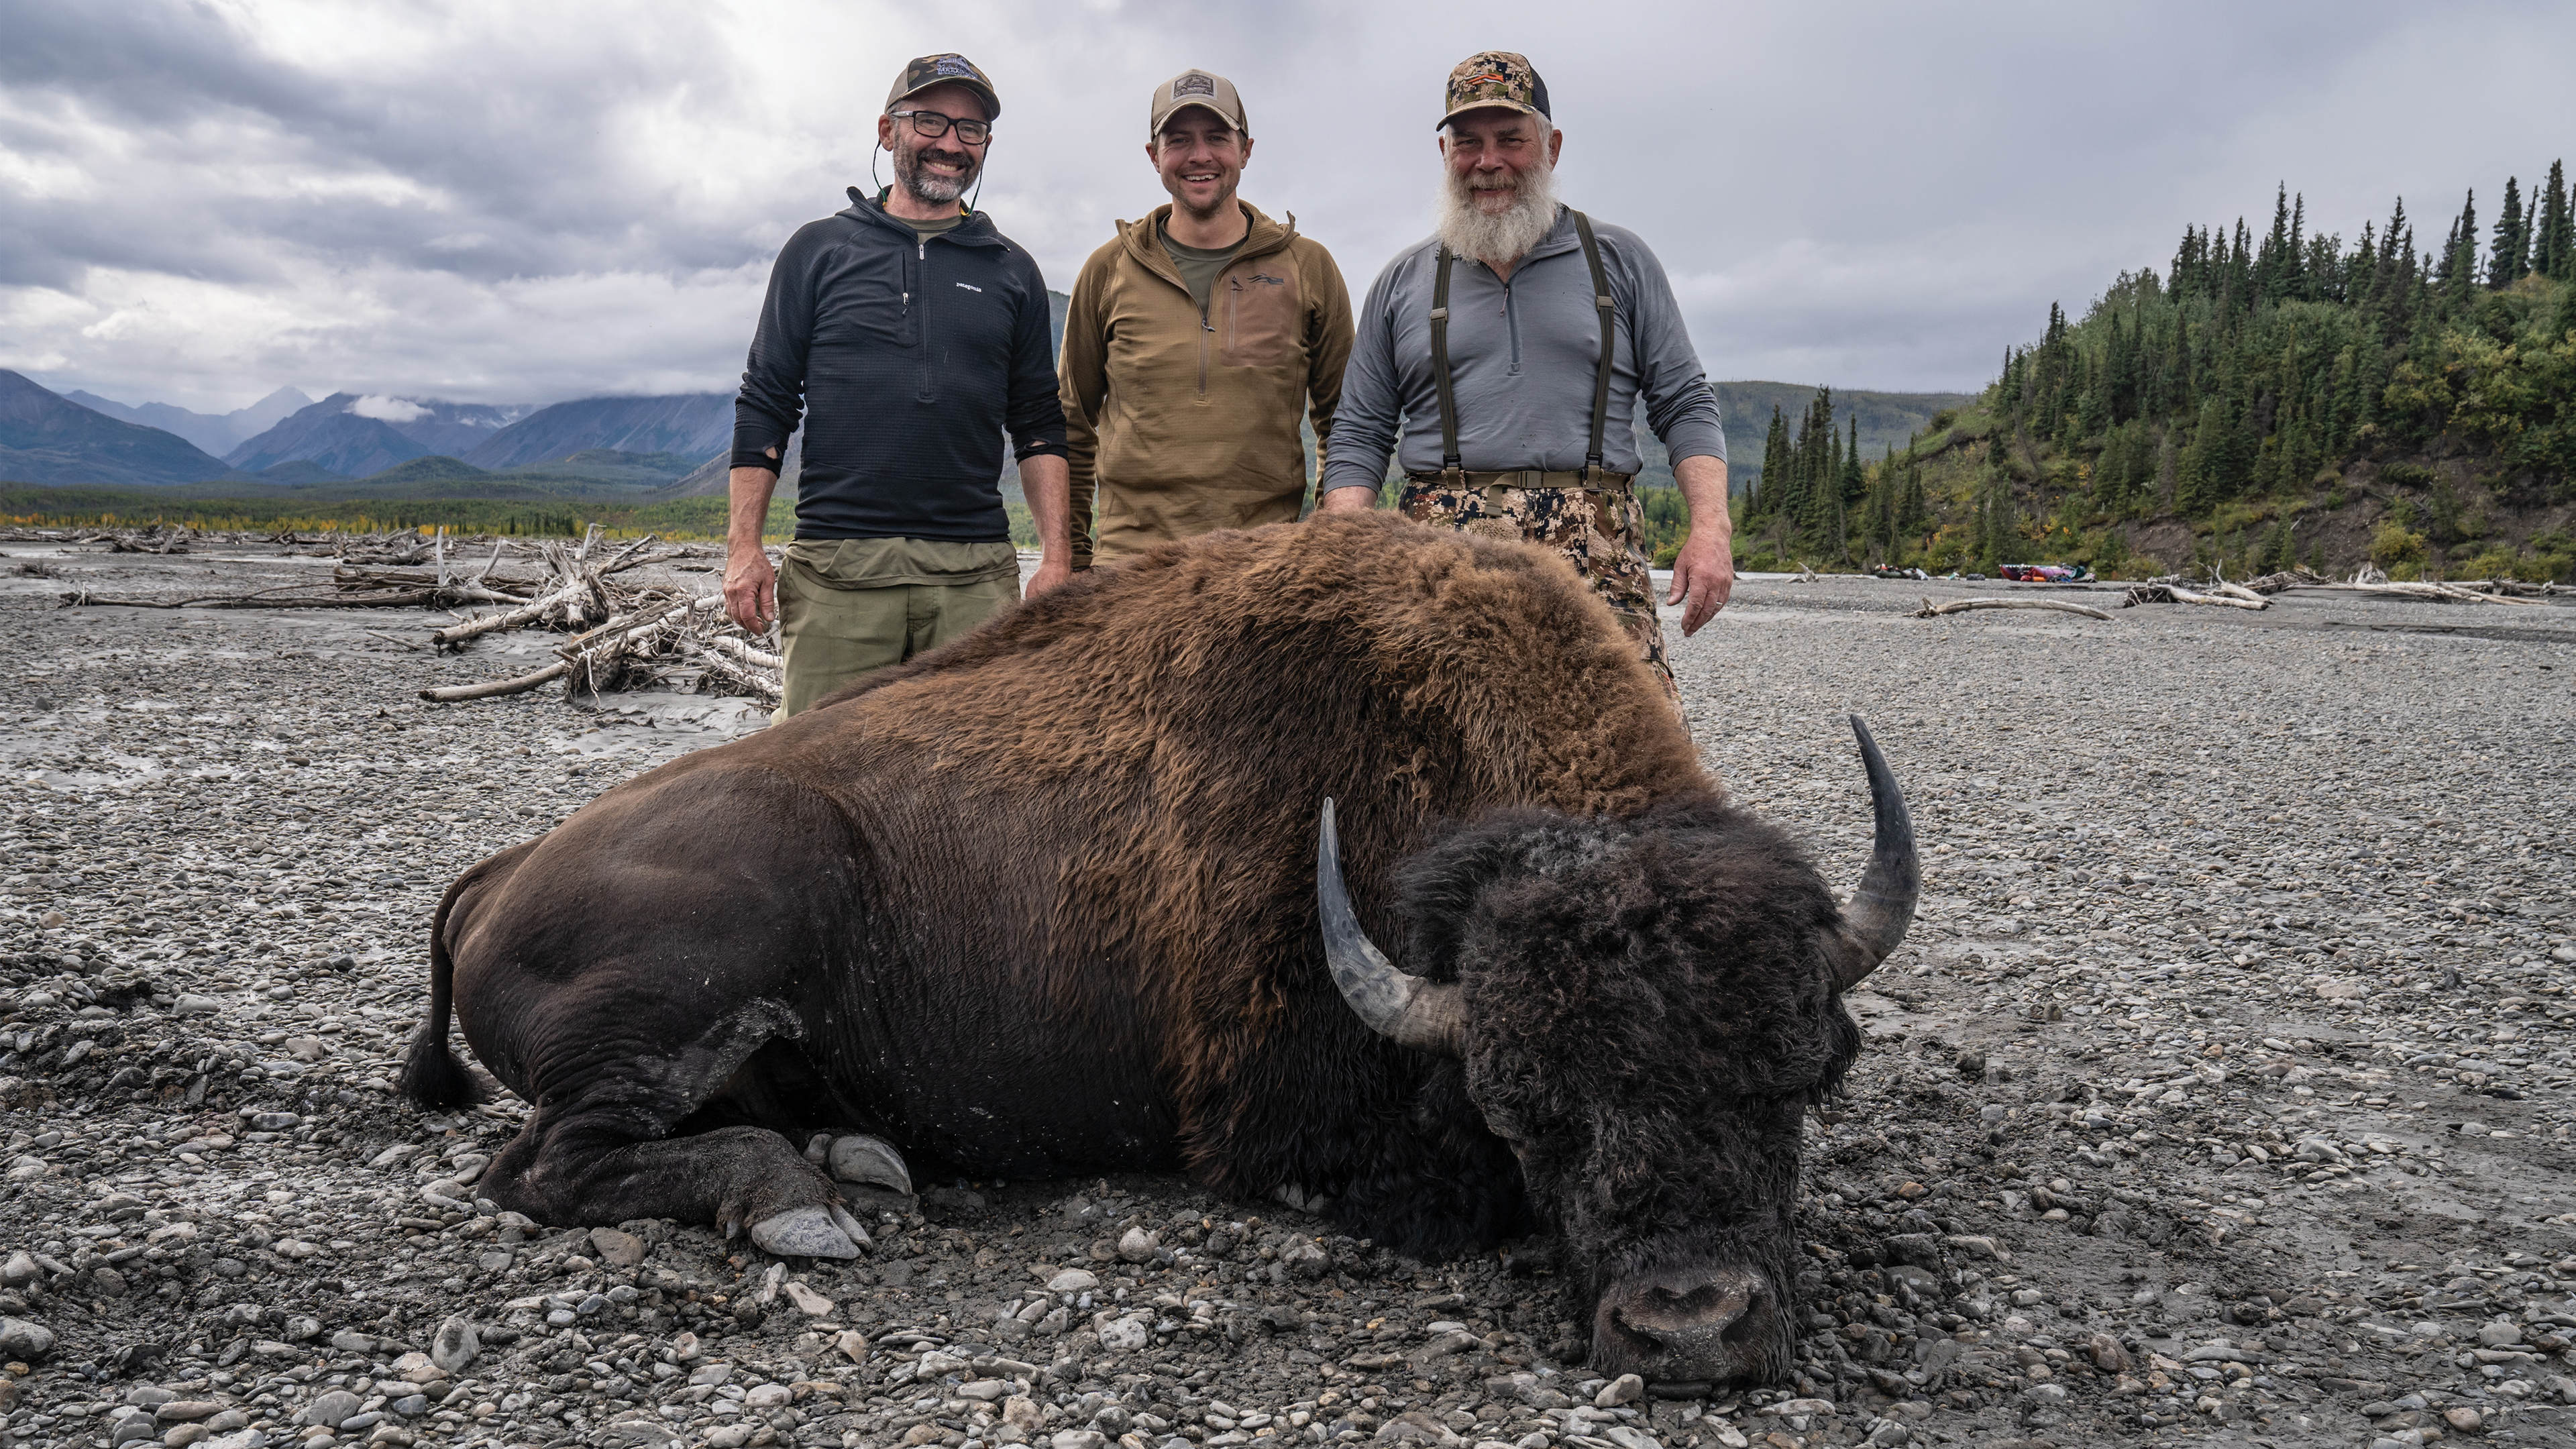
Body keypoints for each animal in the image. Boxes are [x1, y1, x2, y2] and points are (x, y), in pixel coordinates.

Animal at [403, 512, 1917, 1386]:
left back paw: (859, 1158)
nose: (1692, 1328)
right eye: (1524, 1113)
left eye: (1798, 1079)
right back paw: (800, 1201)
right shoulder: (1290, 1128)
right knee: (545, 1166)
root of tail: (498, 875)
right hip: (706, 957)